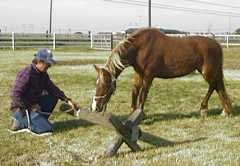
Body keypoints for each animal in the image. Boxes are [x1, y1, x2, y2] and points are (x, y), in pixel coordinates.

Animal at [91, 27, 232, 116]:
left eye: (105, 85)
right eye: (96, 84)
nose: (94, 107)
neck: (139, 48)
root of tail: (217, 45)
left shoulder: (149, 75)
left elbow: (143, 94)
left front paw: (140, 114)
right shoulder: (139, 74)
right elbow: (135, 91)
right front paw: (132, 113)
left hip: (207, 72)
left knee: (213, 85)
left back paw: (204, 109)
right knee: (218, 86)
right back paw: (225, 111)